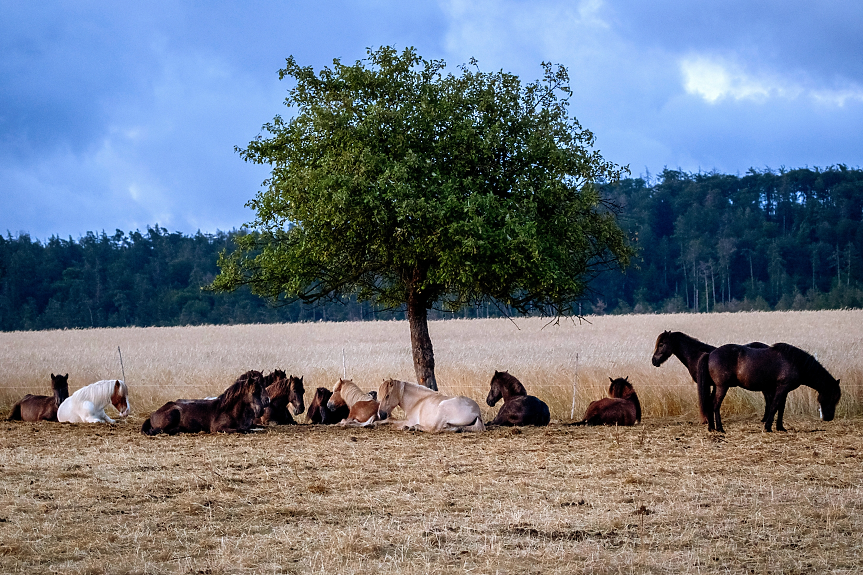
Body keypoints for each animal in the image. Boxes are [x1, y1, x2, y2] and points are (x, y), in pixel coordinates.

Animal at [140, 368, 268, 436]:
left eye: (264, 385)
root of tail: (153, 414)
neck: (231, 410)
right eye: (254, 391)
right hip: (174, 413)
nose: (266, 402)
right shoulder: (218, 428)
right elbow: (242, 430)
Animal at [700, 342, 840, 432]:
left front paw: (780, 427)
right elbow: (774, 405)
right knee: (715, 404)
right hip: (722, 387)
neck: (795, 362)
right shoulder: (782, 388)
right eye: (833, 397)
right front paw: (768, 427)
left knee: (709, 403)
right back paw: (720, 428)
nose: (829, 417)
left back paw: (711, 428)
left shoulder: (784, 390)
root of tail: (710, 354)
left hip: (716, 387)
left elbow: (781, 407)